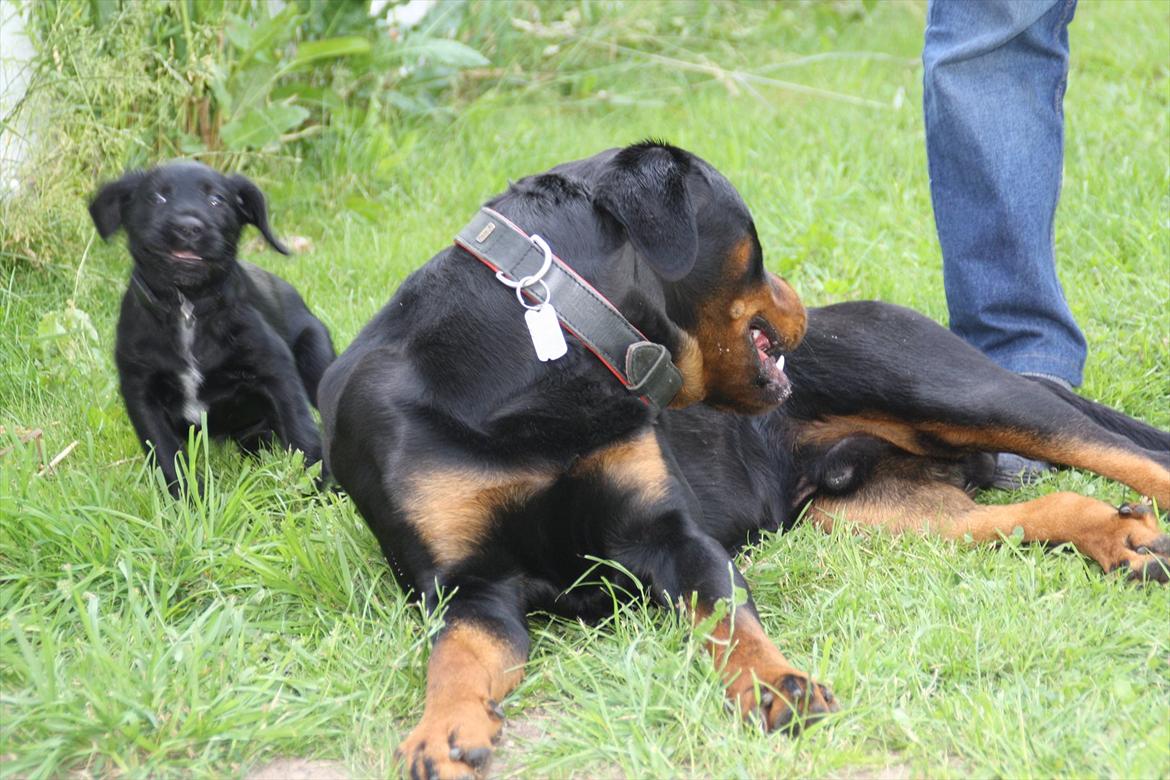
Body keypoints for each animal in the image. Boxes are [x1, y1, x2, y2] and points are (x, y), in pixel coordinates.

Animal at [91, 161, 334, 498]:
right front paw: (189, 501)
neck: (187, 309)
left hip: (316, 355)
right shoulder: (140, 391)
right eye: (157, 198)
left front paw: (317, 492)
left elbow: (301, 431)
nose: (188, 227)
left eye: (217, 199)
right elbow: (167, 454)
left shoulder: (276, 370)